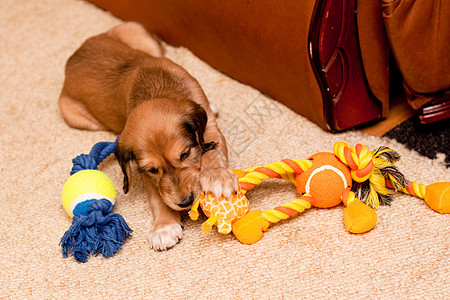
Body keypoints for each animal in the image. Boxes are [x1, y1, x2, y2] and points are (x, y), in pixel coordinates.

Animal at [59, 22, 239, 250]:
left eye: (185, 154)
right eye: (153, 170)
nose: (185, 202)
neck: (157, 90)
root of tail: (73, 56)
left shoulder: (211, 131)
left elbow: (212, 154)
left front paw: (218, 178)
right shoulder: (146, 174)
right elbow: (158, 197)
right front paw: (164, 226)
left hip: (137, 33)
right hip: (74, 116)